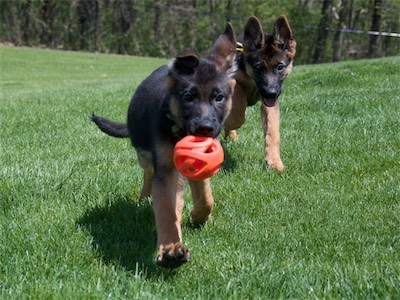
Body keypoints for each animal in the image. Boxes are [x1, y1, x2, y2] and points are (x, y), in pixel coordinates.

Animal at [223, 15, 296, 171]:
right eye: (259, 67)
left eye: (280, 67)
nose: (271, 93)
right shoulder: (230, 80)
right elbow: (239, 97)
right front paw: (233, 121)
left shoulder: (270, 105)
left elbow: (272, 131)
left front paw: (274, 162)